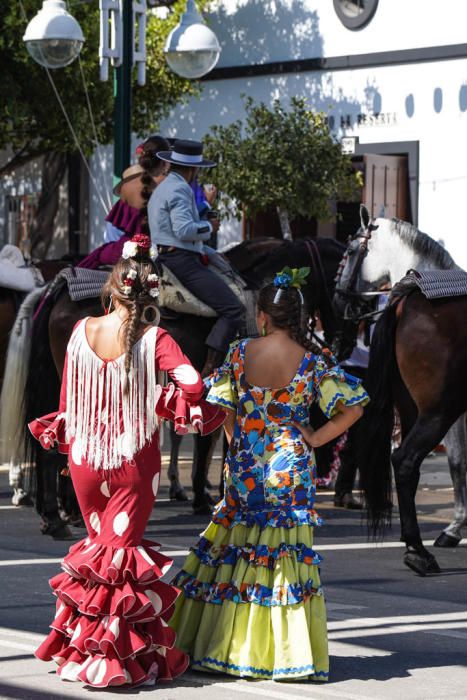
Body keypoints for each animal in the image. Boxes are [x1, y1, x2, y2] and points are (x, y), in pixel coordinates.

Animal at [334, 205, 466, 576]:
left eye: (351, 251)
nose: (338, 301)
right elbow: (459, 462)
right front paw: (456, 527)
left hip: (416, 411)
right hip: (436, 411)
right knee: (405, 461)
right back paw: (418, 552)